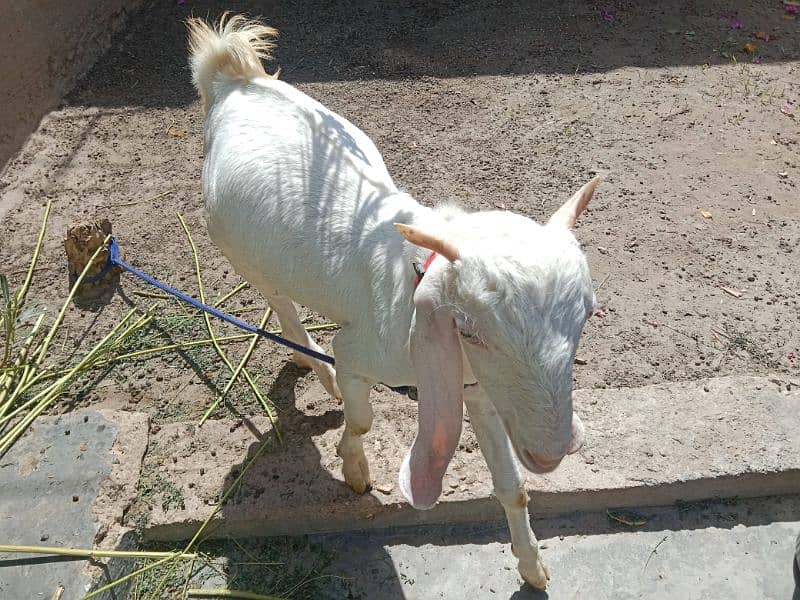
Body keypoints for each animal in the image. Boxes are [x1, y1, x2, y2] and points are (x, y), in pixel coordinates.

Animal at [189, 15, 600, 592]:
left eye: (587, 314)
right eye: (469, 329)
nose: (551, 451)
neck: (416, 276)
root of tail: (231, 77)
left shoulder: (476, 390)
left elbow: (511, 485)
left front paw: (531, 566)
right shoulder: (362, 350)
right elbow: (361, 419)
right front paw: (354, 471)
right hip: (236, 246)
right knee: (280, 302)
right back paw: (314, 365)